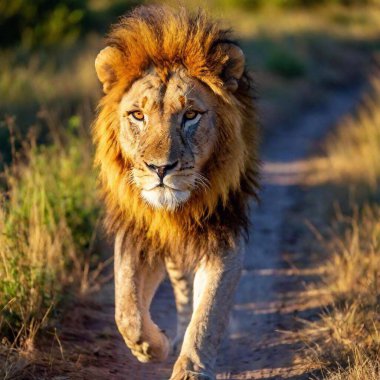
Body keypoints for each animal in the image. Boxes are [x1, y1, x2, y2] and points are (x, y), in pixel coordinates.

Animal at [93, 3, 258, 380]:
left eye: (191, 114)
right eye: (137, 115)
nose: (160, 168)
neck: (175, 211)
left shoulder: (225, 237)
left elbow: (208, 316)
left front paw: (191, 368)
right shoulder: (139, 232)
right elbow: (127, 309)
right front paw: (152, 347)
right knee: (182, 292)